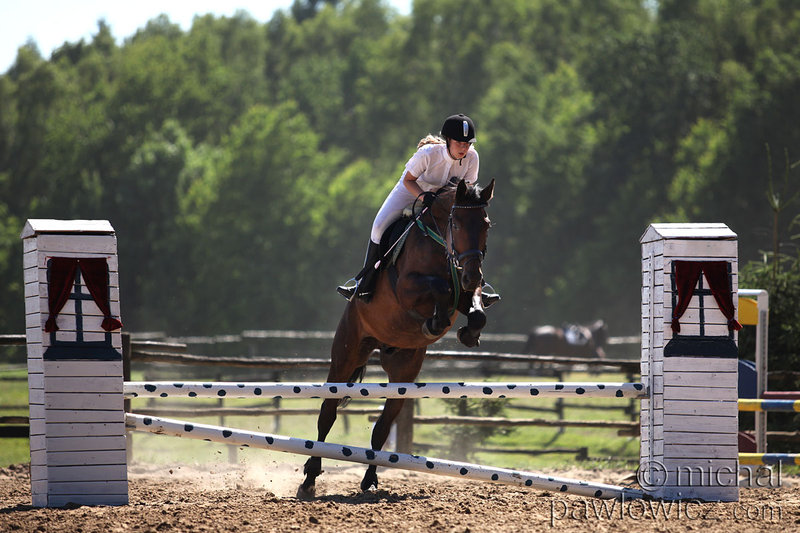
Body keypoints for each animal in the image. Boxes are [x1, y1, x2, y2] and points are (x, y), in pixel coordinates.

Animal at [300, 179, 494, 498]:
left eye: (486, 224)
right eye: (456, 223)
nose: (472, 275)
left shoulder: (467, 292)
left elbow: (477, 312)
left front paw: (466, 333)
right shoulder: (406, 288)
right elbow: (441, 289)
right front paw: (435, 322)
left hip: (403, 371)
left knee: (382, 426)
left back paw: (369, 480)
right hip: (346, 353)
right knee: (327, 412)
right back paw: (309, 478)